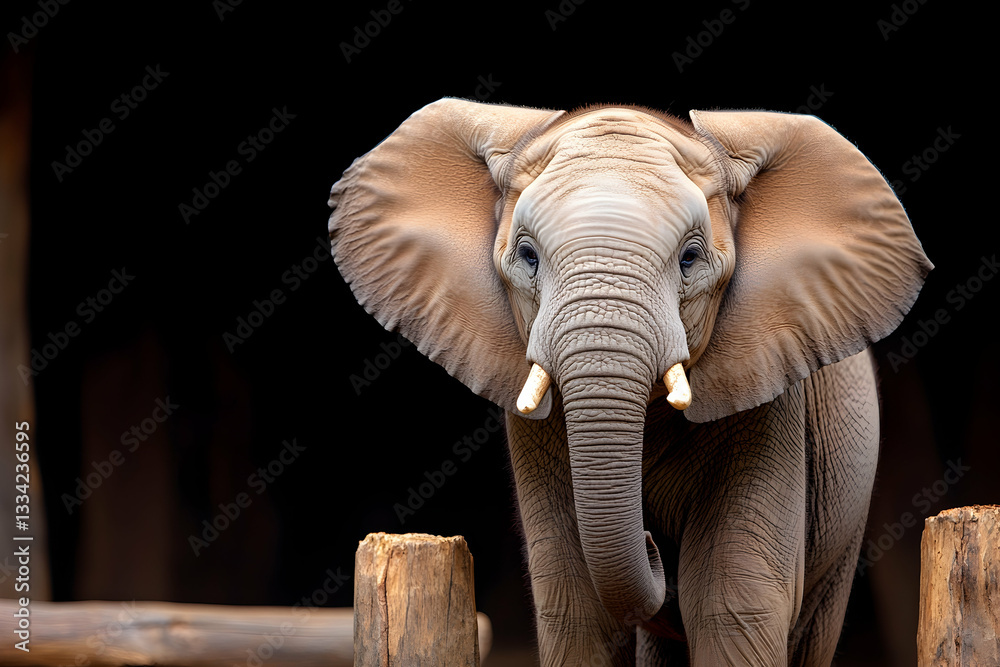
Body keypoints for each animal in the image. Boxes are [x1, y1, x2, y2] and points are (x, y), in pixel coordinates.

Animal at [327, 97, 932, 666]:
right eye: (527, 255)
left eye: (690, 258)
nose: (652, 539)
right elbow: (574, 608)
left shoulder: (773, 407)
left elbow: (733, 601)